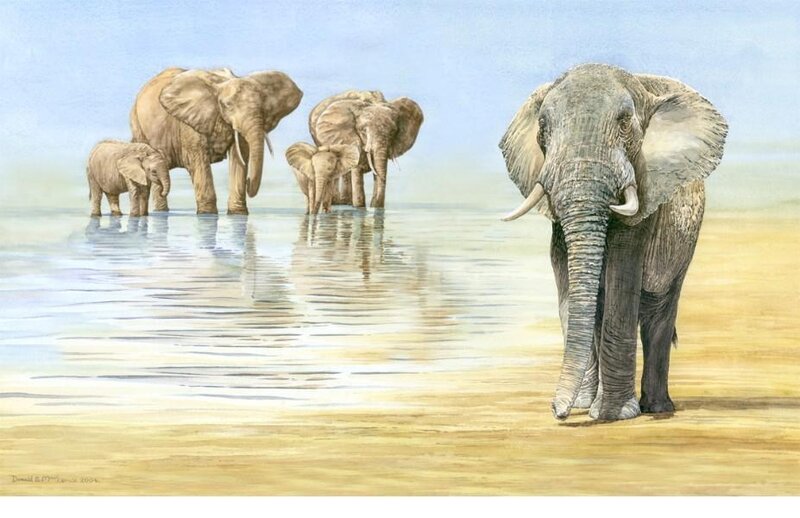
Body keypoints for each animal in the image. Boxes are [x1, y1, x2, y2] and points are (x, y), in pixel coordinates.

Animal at [130, 67, 303, 214]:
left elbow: (240, 157)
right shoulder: (189, 123)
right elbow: (199, 161)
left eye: (263, 107)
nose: (248, 182)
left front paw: (238, 214)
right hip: (138, 126)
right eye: (226, 105)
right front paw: (207, 214)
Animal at [499, 64, 727, 421]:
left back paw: (656, 408)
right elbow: (571, 285)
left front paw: (612, 414)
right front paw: (583, 407)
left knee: (659, 313)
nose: (556, 411)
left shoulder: (646, 193)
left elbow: (622, 277)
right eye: (543, 126)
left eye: (624, 122)